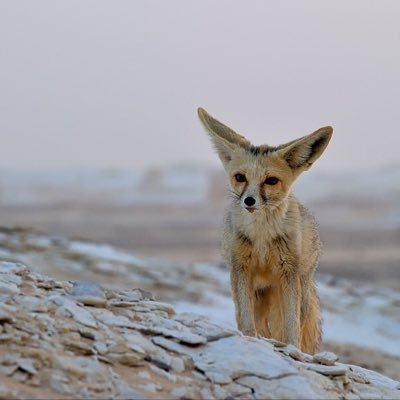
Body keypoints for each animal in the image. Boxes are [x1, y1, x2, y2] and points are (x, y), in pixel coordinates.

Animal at [198, 107, 332, 354]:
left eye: (271, 181)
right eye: (240, 177)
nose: (249, 201)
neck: (261, 236)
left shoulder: (288, 273)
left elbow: (291, 327)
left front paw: (292, 349)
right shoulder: (241, 268)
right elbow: (245, 319)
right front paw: (248, 339)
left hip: (294, 290)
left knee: (286, 326)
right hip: (260, 293)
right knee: (261, 325)